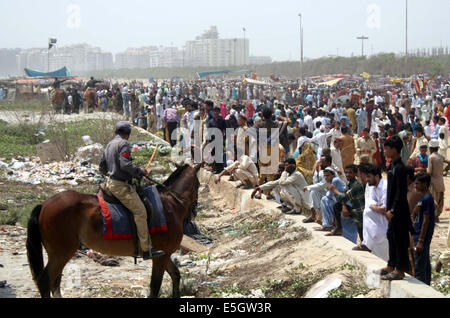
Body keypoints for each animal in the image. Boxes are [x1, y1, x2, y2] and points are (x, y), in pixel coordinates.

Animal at [24, 164, 200, 298]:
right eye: (198, 184)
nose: (193, 212)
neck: (170, 204)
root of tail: (44, 205)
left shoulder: (165, 255)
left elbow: (175, 275)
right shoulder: (160, 257)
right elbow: (155, 287)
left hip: (60, 254)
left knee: (55, 281)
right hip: (61, 253)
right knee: (45, 280)